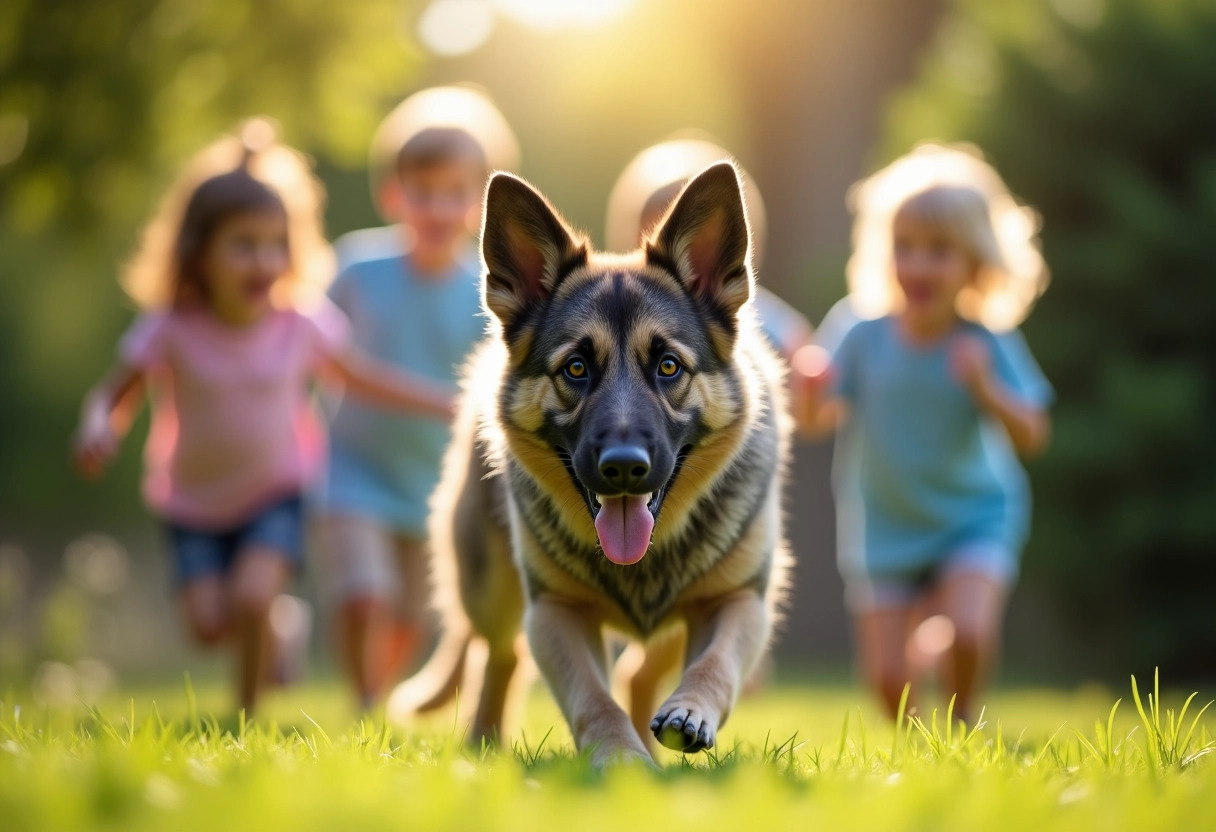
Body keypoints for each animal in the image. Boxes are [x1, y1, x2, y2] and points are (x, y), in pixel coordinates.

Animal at [386, 159, 787, 763]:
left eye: (669, 366)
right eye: (576, 368)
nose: (624, 467)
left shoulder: (739, 601)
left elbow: (715, 664)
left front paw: (689, 713)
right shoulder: (555, 613)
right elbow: (592, 698)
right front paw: (619, 757)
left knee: (639, 673)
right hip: (492, 592)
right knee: (500, 657)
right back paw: (484, 743)